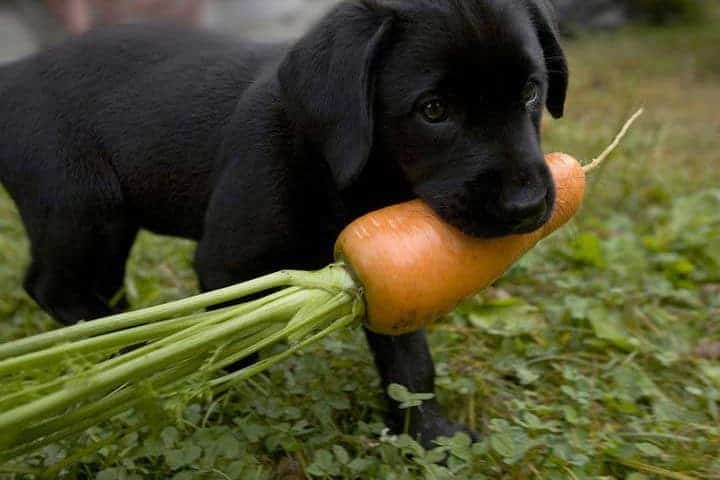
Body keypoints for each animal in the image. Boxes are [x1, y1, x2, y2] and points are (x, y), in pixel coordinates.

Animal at [0, 0, 564, 446]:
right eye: (434, 110)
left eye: (531, 93)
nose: (528, 203)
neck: (337, 165)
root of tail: (15, 73)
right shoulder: (226, 266)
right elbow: (232, 345)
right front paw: (220, 405)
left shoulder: (381, 271)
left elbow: (410, 360)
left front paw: (429, 435)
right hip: (80, 205)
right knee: (52, 286)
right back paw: (136, 353)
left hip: (109, 221)